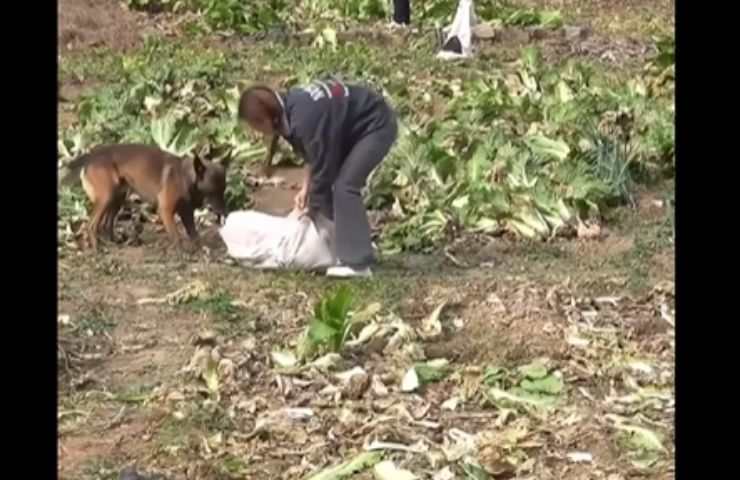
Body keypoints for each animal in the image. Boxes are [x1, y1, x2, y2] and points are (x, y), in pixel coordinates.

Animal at [62, 143, 230, 249]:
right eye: (212, 191)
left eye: (223, 189)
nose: (225, 212)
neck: (185, 177)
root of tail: (92, 156)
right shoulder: (166, 211)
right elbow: (176, 236)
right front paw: (181, 254)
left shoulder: (186, 213)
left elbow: (194, 235)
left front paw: (201, 251)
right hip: (106, 197)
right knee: (91, 225)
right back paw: (97, 250)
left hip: (117, 197)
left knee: (105, 224)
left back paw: (111, 243)